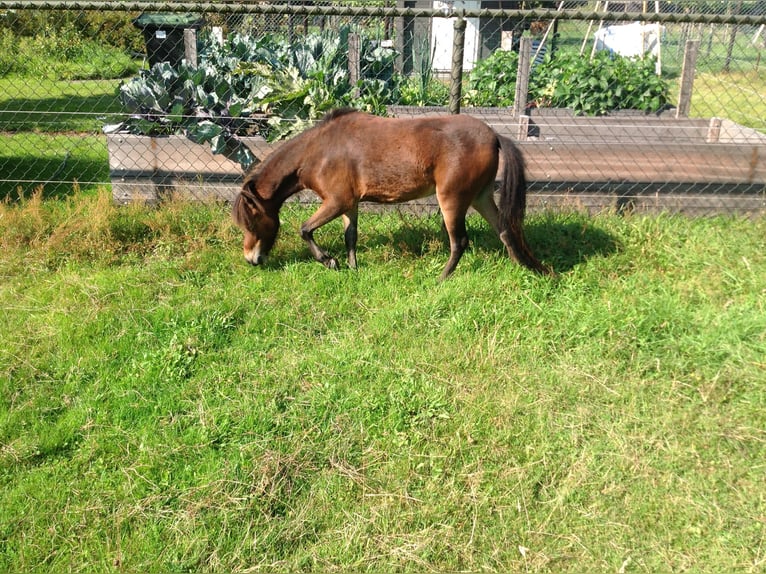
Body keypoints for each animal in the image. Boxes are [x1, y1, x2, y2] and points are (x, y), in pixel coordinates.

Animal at [232, 108, 549, 280]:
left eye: (251, 222)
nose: (250, 259)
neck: (317, 152)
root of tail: (494, 136)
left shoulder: (336, 201)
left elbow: (305, 229)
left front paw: (330, 261)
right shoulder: (349, 203)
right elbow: (350, 236)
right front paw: (352, 267)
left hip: (453, 199)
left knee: (459, 242)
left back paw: (441, 279)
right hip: (481, 196)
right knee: (505, 229)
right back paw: (521, 266)